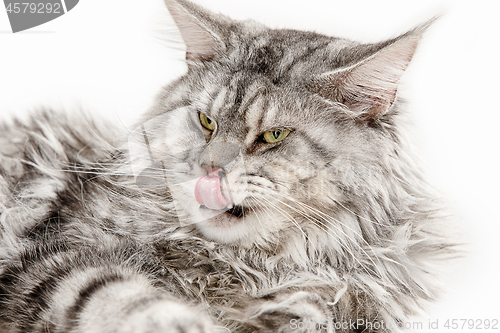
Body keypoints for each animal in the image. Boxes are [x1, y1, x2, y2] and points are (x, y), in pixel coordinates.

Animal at [0, 0, 454, 330]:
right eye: (206, 122)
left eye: (273, 136)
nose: (207, 168)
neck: (248, 266)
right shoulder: (53, 255)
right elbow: (115, 294)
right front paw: (183, 322)